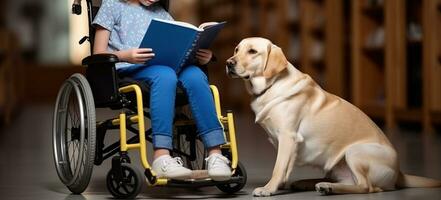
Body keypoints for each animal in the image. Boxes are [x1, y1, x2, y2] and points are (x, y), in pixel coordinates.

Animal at [227, 37, 440, 197]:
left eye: (253, 51)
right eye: (237, 49)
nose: (229, 63)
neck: (271, 86)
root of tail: (399, 172)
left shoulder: (288, 136)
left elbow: (278, 167)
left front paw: (269, 188)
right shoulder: (285, 143)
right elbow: (285, 168)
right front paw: (279, 185)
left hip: (355, 152)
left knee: (366, 187)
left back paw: (328, 187)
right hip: (335, 165)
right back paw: (315, 184)